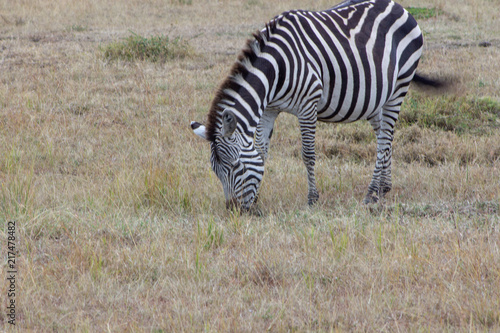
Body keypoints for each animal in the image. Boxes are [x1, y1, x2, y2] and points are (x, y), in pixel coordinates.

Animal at [191, 0, 442, 209]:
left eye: (237, 167)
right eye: (215, 171)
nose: (234, 210)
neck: (276, 69)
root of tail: (398, 6)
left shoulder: (307, 105)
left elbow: (308, 154)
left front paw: (312, 199)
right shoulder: (269, 109)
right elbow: (262, 152)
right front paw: (258, 198)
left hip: (399, 86)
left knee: (384, 138)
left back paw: (371, 193)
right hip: (376, 96)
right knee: (384, 135)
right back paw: (383, 187)